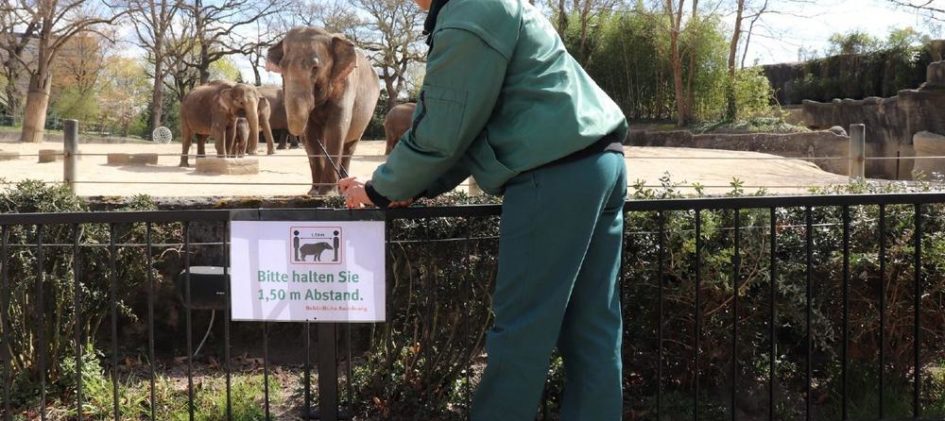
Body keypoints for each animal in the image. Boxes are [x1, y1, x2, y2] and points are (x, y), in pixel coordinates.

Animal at [267, 27, 381, 195]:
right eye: (282, 68)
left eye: (315, 68)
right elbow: (311, 134)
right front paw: (314, 193)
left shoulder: (345, 83)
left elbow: (336, 129)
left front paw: (327, 194)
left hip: (365, 117)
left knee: (349, 147)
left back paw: (343, 190)